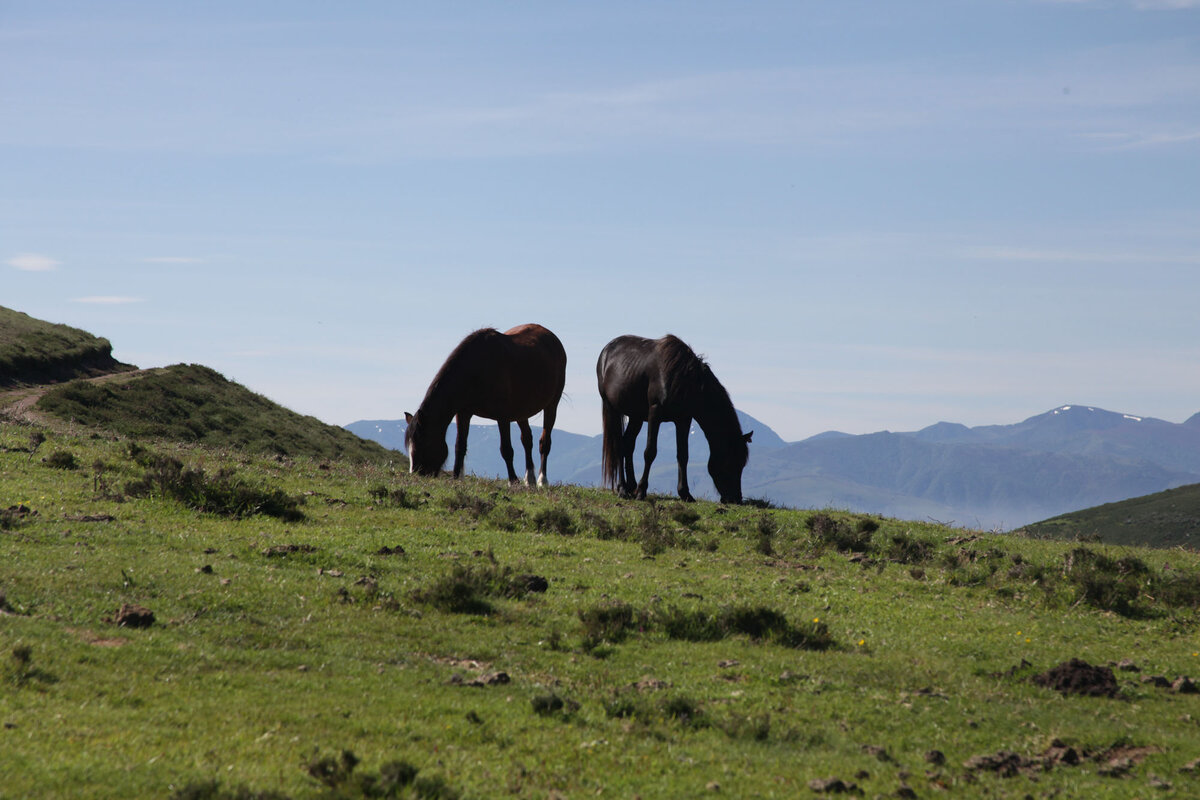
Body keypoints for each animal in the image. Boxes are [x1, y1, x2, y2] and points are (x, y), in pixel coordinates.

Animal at [403, 321, 566, 484]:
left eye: (423, 443)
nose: (417, 475)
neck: (476, 370)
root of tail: (552, 338)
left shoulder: (503, 416)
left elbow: (506, 449)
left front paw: (513, 480)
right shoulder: (463, 413)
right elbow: (460, 446)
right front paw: (456, 477)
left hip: (552, 405)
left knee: (544, 442)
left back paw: (542, 480)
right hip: (521, 410)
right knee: (527, 440)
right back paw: (529, 479)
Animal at [597, 335, 748, 503]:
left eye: (742, 465)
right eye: (730, 463)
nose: (736, 498)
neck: (685, 380)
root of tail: (605, 351)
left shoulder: (683, 419)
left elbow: (683, 455)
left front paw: (685, 493)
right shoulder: (655, 413)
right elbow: (650, 452)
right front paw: (642, 491)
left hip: (636, 416)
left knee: (627, 444)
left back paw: (630, 486)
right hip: (612, 409)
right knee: (618, 445)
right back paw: (623, 488)